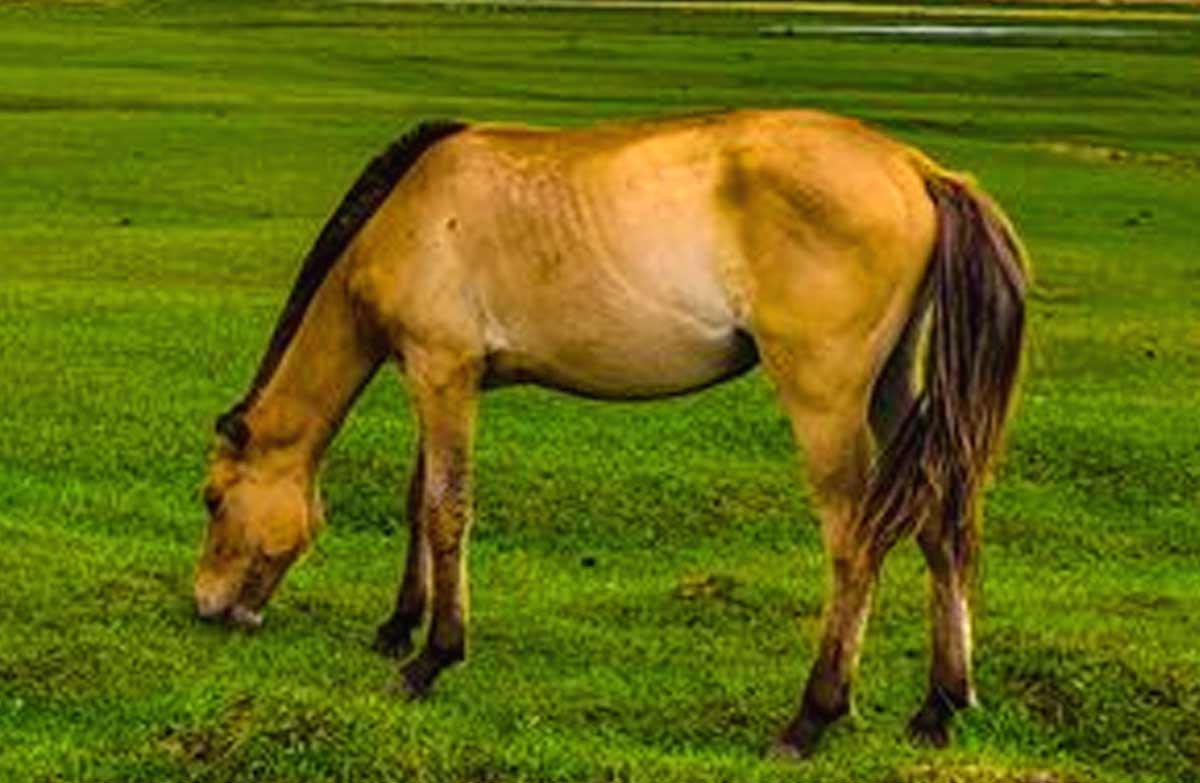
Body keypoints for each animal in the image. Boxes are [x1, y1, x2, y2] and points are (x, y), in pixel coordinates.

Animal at [193, 109, 1027, 757]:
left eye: (211, 499)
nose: (207, 607)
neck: (410, 212)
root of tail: (919, 169)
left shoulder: (442, 371)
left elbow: (445, 509)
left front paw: (431, 657)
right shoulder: (439, 380)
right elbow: (418, 502)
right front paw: (399, 624)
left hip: (825, 399)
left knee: (855, 539)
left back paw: (810, 717)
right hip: (898, 390)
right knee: (942, 521)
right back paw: (939, 705)